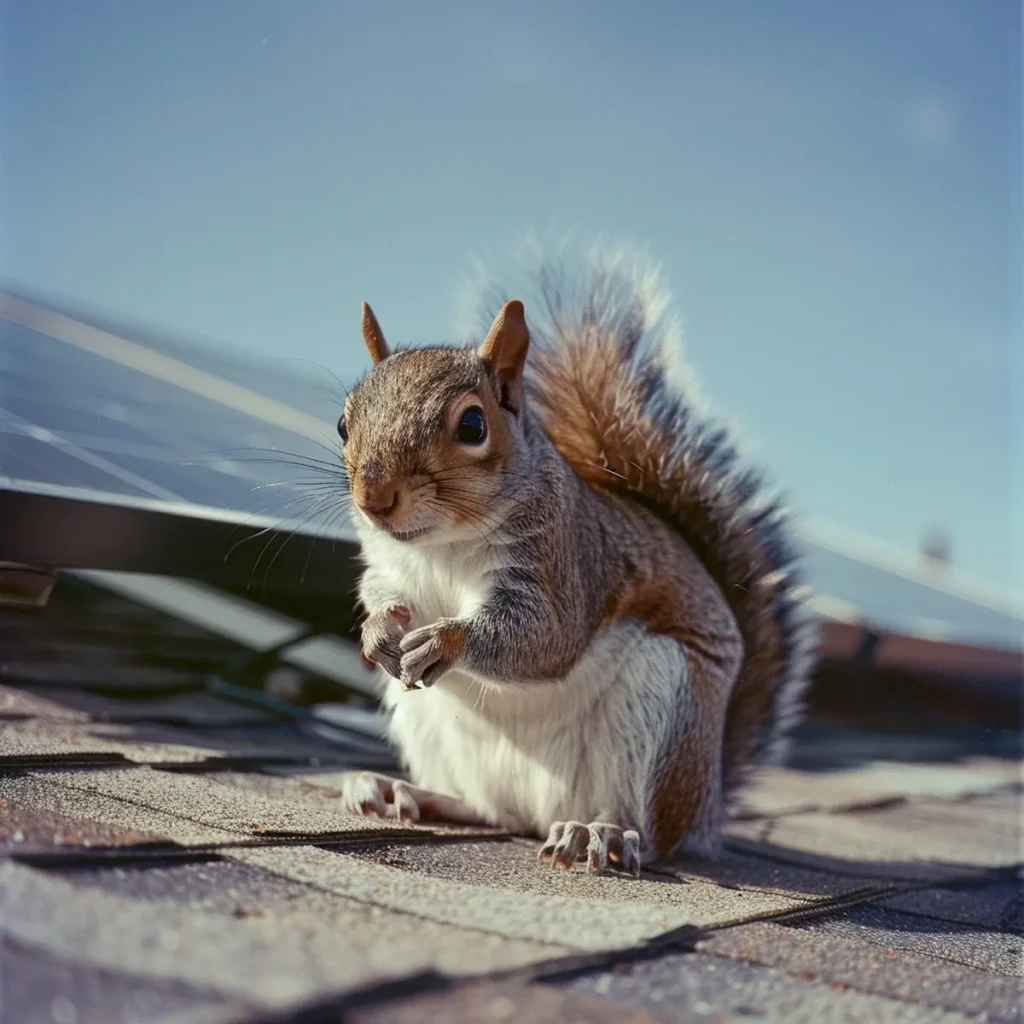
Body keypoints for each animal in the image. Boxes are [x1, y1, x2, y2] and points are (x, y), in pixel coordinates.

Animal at [339, 245, 819, 872]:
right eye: (343, 422)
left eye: (472, 424)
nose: (374, 497)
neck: (440, 545)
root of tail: (707, 809)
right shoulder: (390, 565)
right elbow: (380, 590)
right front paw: (377, 631)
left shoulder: (566, 563)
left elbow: (547, 635)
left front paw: (447, 640)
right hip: (426, 720)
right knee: (488, 810)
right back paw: (404, 791)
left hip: (662, 709)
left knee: (651, 834)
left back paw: (601, 833)